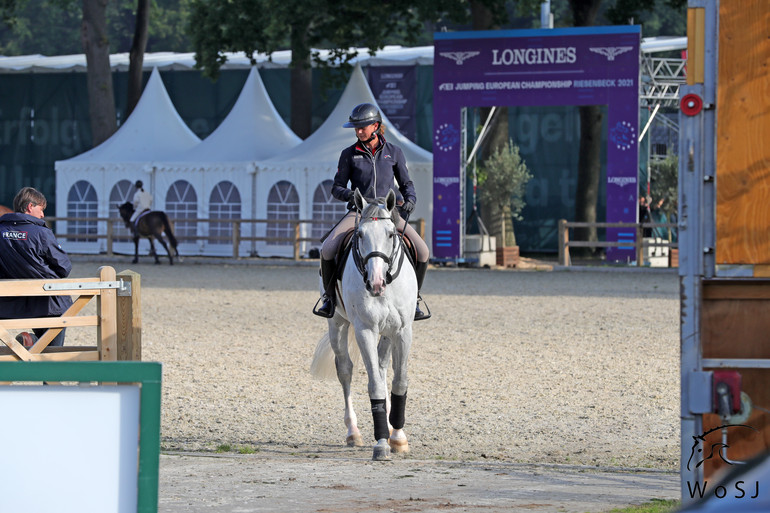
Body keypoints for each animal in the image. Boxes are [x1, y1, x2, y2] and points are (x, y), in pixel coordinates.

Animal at [308, 188, 416, 460]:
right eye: (360, 235)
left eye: (391, 234)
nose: (375, 283)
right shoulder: (365, 329)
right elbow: (374, 385)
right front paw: (381, 443)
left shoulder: (403, 331)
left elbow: (399, 381)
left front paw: (398, 437)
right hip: (337, 324)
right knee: (345, 370)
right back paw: (353, 432)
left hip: (387, 332)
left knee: (382, 366)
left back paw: (388, 426)